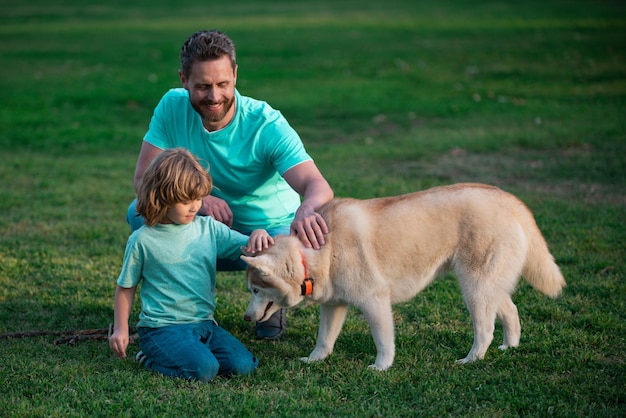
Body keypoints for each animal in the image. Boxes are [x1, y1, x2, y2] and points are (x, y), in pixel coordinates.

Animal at [241, 183, 564, 370]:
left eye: (255, 290)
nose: (245, 318)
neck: (315, 253)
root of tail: (508, 198)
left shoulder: (375, 301)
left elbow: (384, 341)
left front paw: (382, 367)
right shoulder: (334, 305)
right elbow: (324, 339)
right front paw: (314, 360)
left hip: (474, 287)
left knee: (485, 330)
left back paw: (471, 359)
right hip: (488, 286)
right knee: (511, 310)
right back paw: (509, 347)